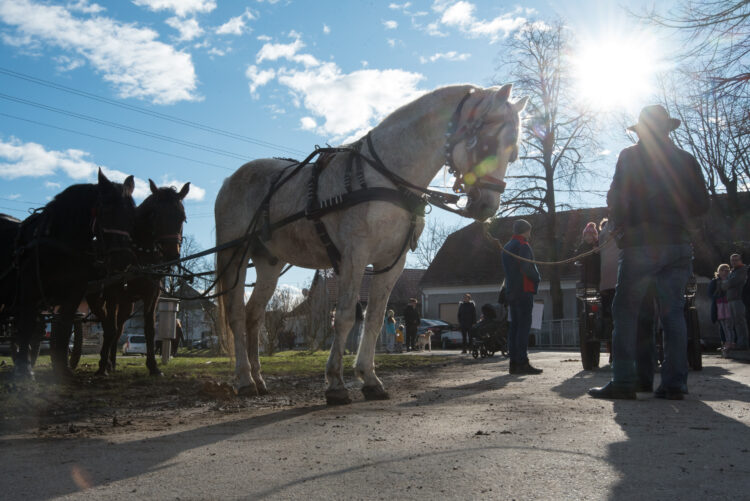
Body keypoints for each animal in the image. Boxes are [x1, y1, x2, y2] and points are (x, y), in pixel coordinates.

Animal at [13, 169, 137, 378]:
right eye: (106, 211)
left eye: (132, 214)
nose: (123, 259)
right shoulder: (29, 291)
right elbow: (26, 326)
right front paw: (25, 369)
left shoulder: (76, 294)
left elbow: (64, 329)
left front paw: (63, 369)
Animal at [88, 180, 189, 376]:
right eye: (155, 215)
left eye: (182, 217)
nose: (172, 255)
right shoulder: (113, 292)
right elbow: (109, 328)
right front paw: (102, 366)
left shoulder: (152, 293)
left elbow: (149, 329)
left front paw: (153, 366)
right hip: (97, 300)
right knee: (107, 325)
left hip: (126, 304)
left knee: (118, 329)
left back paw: (112, 362)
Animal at [214, 82, 524, 402]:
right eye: (487, 144)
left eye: (512, 155)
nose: (487, 207)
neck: (387, 177)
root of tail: (231, 180)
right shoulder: (355, 256)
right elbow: (345, 317)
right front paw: (335, 383)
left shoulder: (391, 262)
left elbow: (374, 319)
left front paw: (370, 378)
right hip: (234, 255)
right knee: (236, 315)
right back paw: (244, 379)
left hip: (269, 263)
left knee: (254, 316)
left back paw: (258, 378)